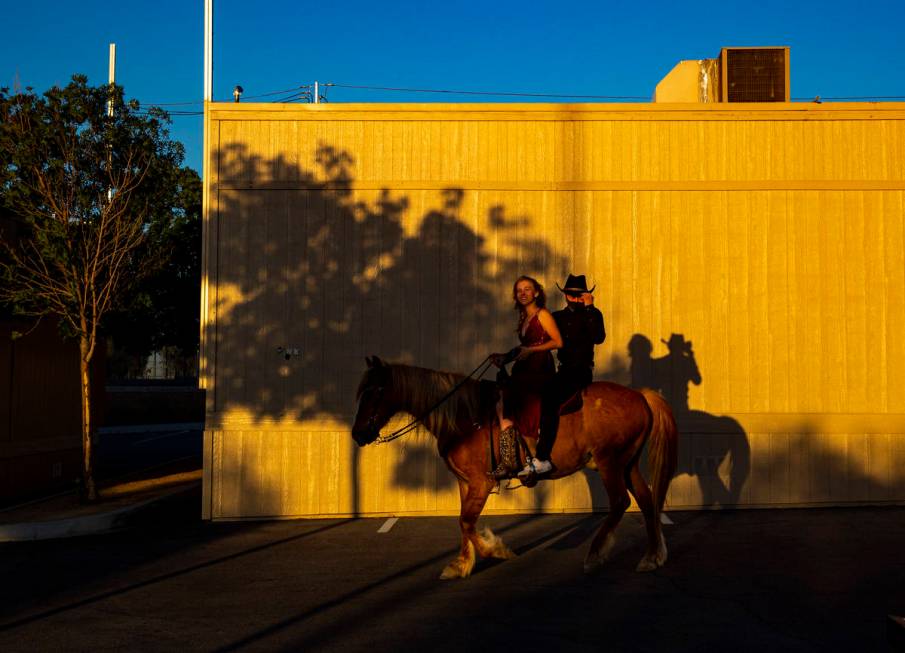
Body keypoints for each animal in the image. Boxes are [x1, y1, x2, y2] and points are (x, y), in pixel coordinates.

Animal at [354, 356, 680, 576]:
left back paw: (596, 554)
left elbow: (466, 522)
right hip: (627, 463)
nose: (358, 434)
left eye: (374, 391)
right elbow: (462, 522)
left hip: (610, 462)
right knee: (646, 499)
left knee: (620, 501)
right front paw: (462, 564)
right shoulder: (464, 482)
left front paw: (495, 550)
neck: (465, 418)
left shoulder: (481, 482)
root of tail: (640, 396)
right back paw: (652, 556)